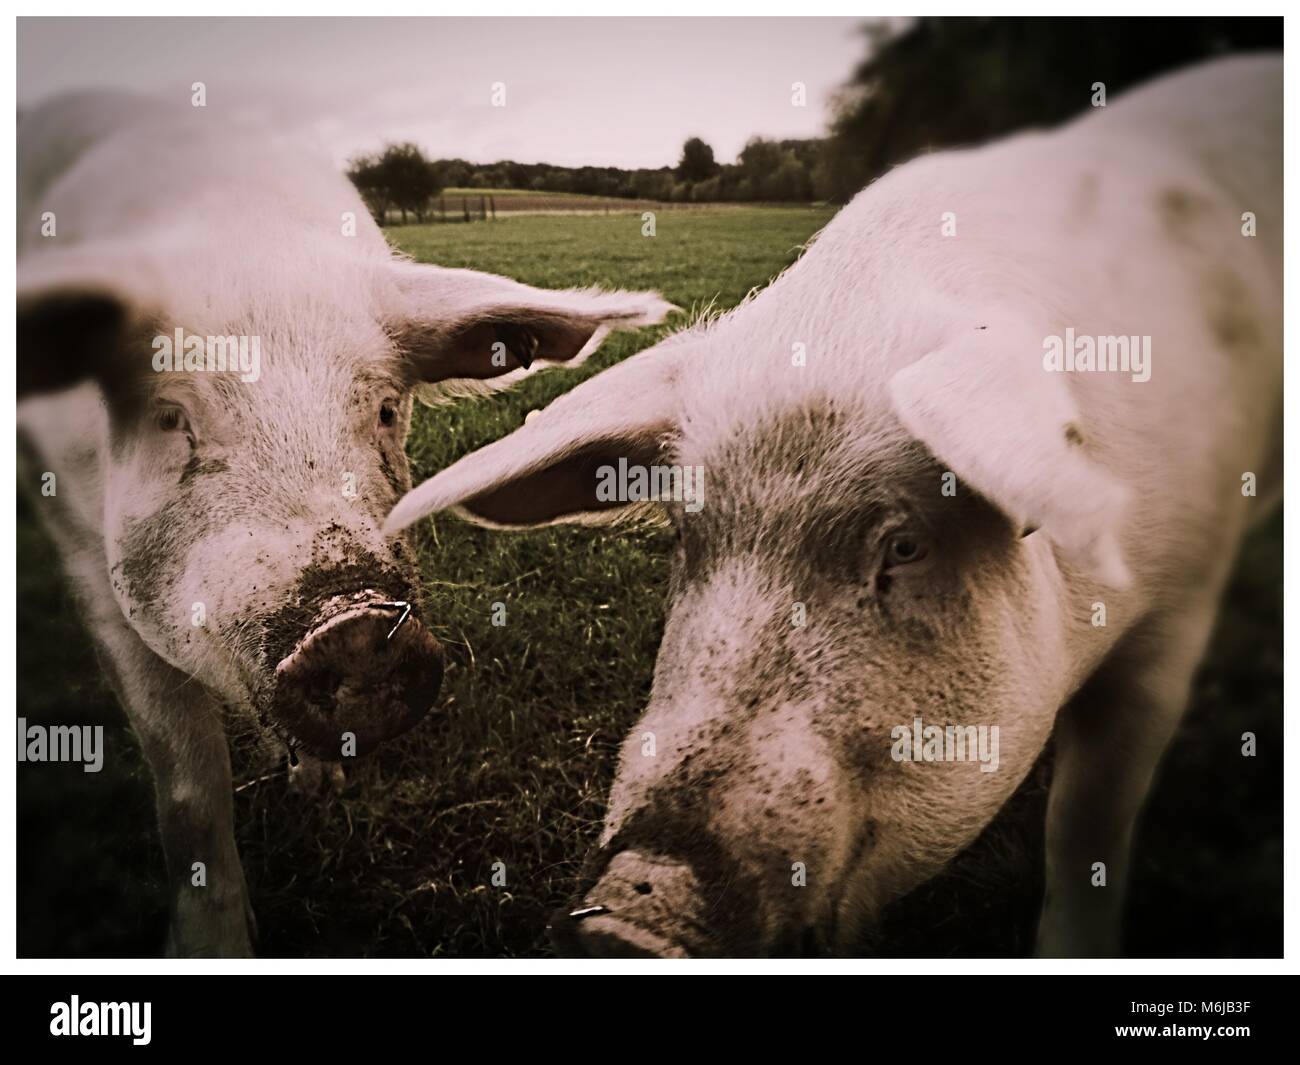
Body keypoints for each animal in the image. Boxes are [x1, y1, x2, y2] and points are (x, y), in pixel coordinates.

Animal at [17, 93, 670, 957]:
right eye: (171, 417)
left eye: (386, 409)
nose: (355, 625)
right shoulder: (88, 558)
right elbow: (189, 785)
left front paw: (320, 786)